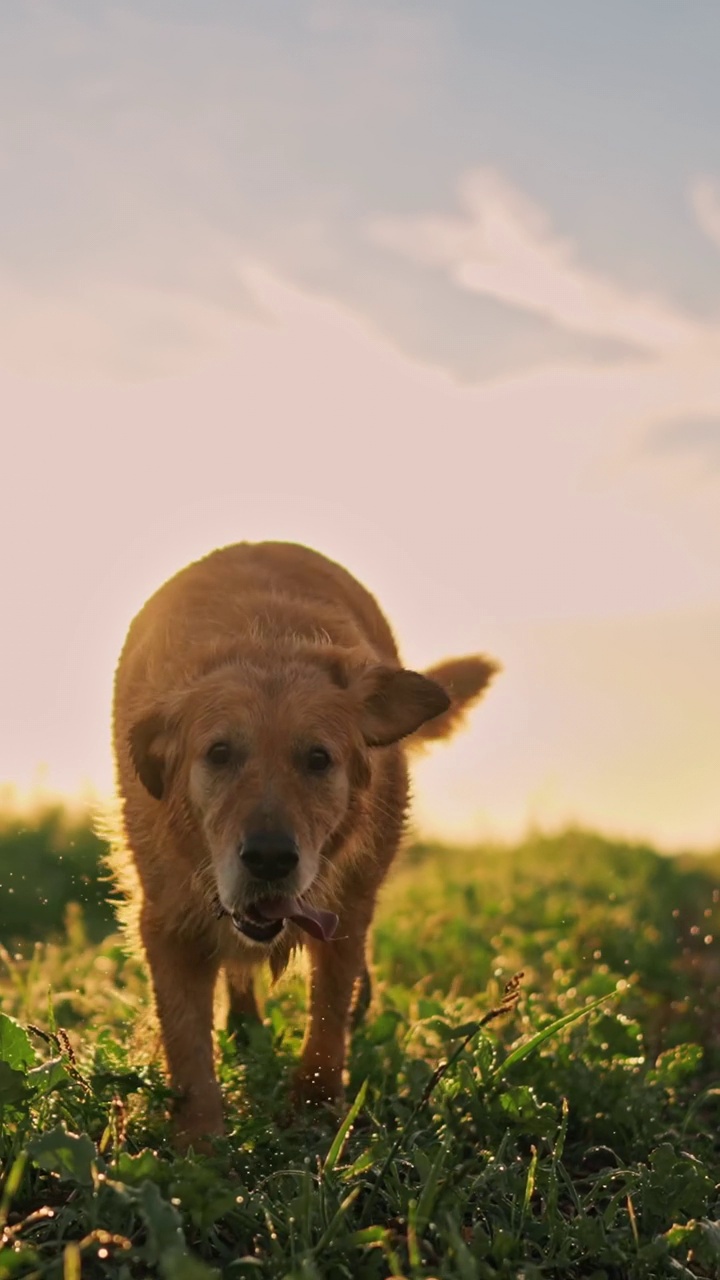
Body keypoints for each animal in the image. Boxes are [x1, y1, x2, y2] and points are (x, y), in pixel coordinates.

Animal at [110, 537, 499, 1141]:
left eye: (318, 758)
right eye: (219, 753)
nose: (269, 859)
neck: (266, 643)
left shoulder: (348, 908)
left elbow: (328, 1015)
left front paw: (314, 1114)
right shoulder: (167, 919)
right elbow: (187, 1046)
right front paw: (201, 1148)